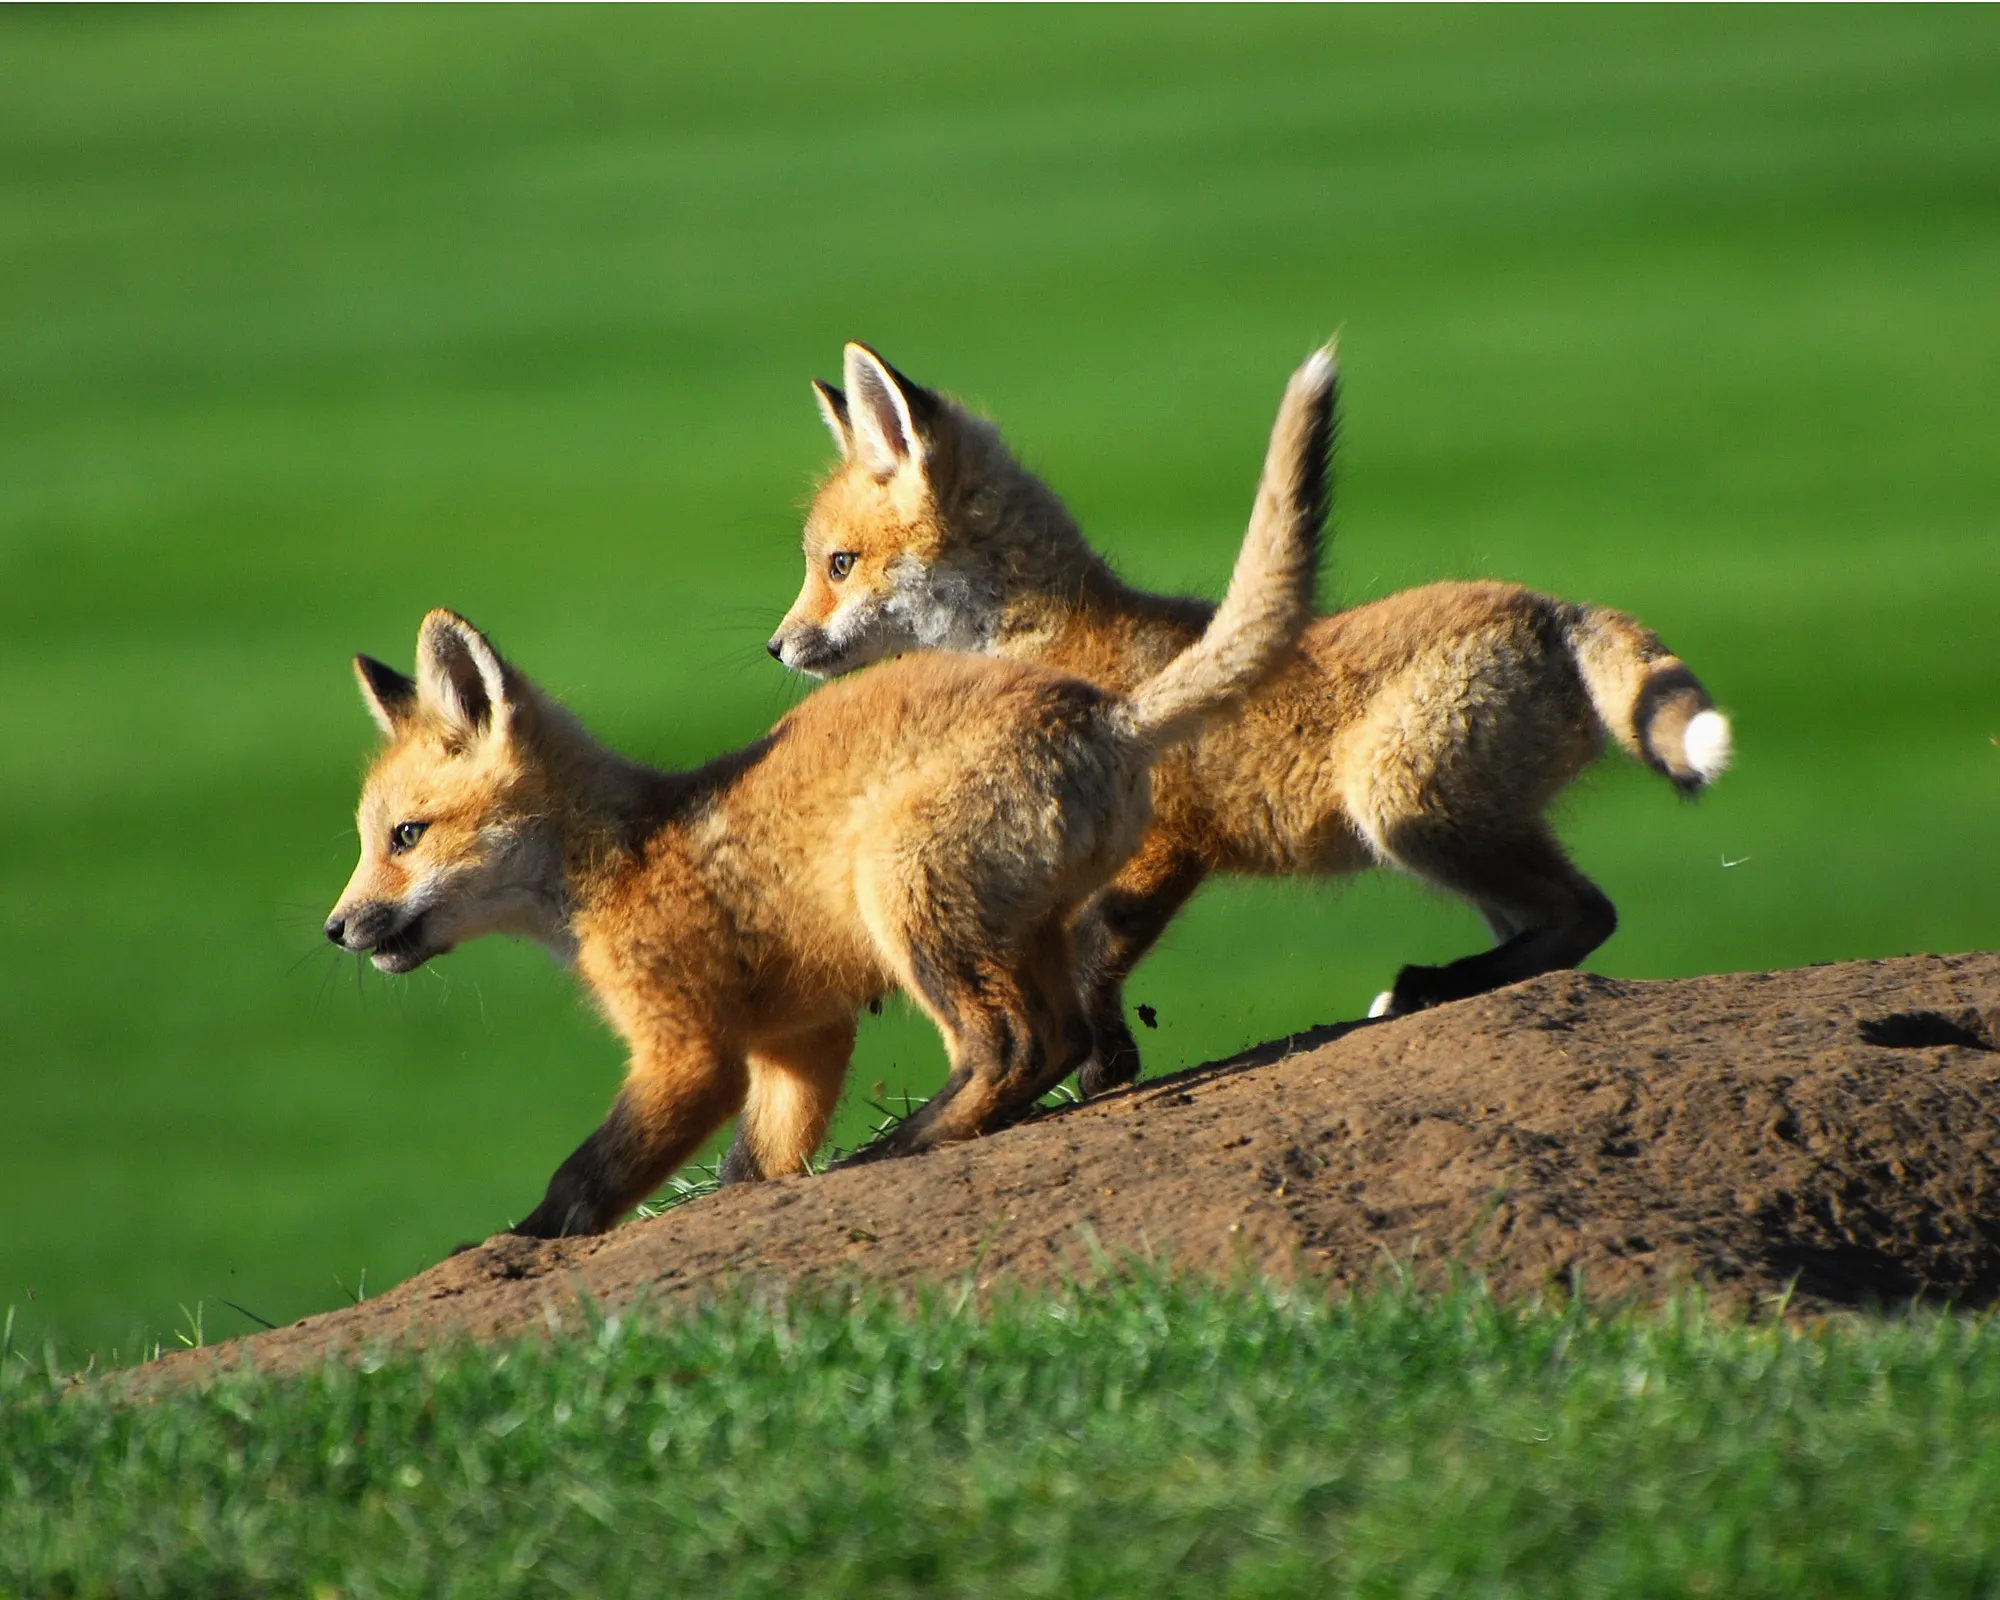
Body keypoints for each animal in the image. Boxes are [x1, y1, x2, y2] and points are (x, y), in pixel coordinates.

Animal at [321, 346, 1336, 1238]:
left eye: (405, 836)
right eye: (373, 841)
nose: (334, 929)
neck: (622, 858)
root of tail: (1106, 714)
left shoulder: (688, 1049)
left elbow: (584, 1183)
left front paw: (516, 1250)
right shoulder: (797, 1045)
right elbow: (750, 1168)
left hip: (907, 900)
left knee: (1016, 1046)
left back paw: (900, 1150)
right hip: (1017, 925)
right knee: (1061, 1032)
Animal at [770, 342, 1733, 1097]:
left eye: (839, 565)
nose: (778, 647)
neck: (1056, 641)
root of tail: (1549, 607)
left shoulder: (1165, 848)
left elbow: (1093, 960)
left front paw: (1103, 1068)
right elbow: (1078, 966)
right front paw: (1102, 1063)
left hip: (1404, 810)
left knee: (1588, 915)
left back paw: (1423, 986)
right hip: (1463, 835)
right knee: (1556, 932)